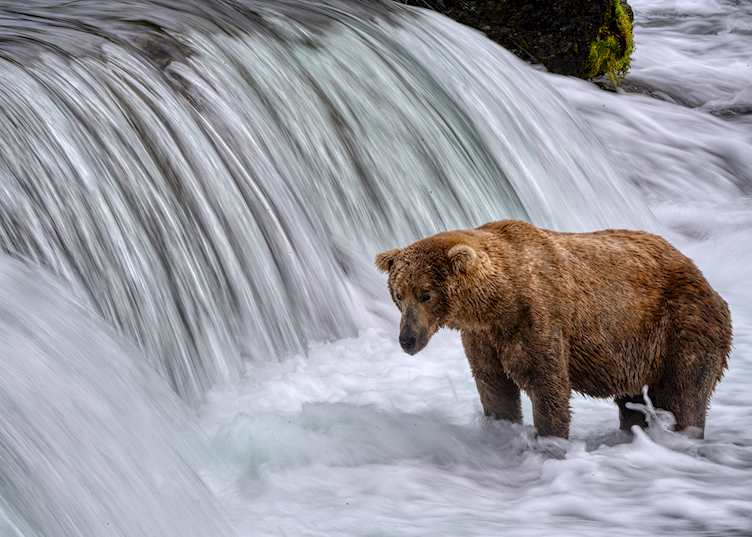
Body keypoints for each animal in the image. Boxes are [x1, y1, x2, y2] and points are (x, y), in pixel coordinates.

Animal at [375, 220, 732, 439]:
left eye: (425, 293)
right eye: (398, 294)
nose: (407, 339)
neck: (497, 302)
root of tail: (700, 273)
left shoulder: (538, 318)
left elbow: (547, 385)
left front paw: (550, 439)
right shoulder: (483, 338)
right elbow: (494, 387)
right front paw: (502, 429)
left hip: (681, 326)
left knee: (683, 393)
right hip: (633, 351)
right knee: (632, 402)